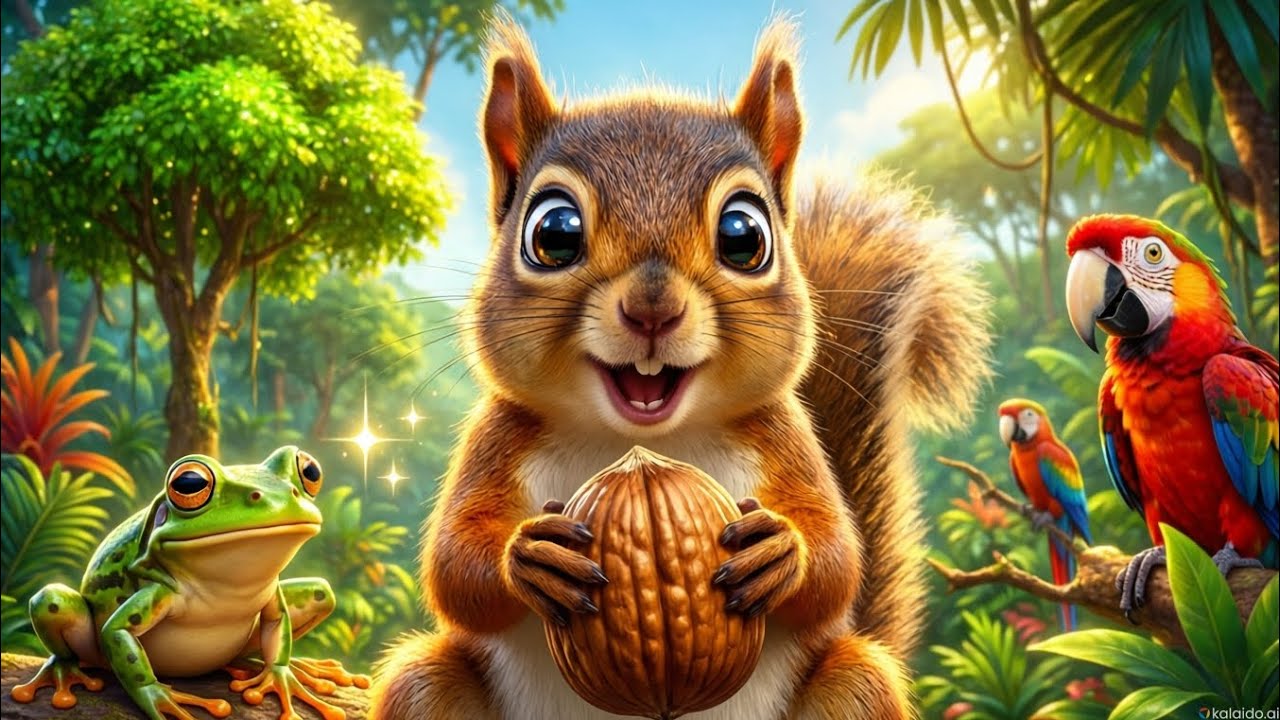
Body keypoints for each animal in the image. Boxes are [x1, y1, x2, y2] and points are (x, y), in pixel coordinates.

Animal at [371, 15, 991, 720]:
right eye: (553, 232)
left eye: (745, 235)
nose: (652, 308)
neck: (639, 441)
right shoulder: (497, 437)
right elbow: (454, 567)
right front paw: (528, 557)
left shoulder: (784, 439)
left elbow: (837, 563)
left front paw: (784, 551)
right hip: (426, 687)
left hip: (855, 687)